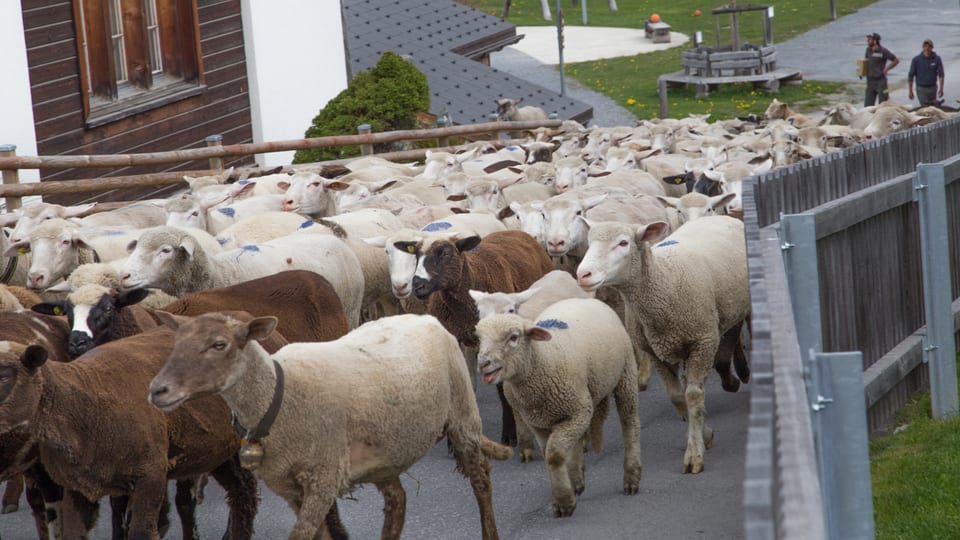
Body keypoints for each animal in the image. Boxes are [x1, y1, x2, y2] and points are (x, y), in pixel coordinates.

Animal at [148, 310, 510, 540]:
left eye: (219, 344)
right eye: (176, 343)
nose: (157, 390)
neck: (279, 396)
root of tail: (423, 316)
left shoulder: (322, 477)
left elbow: (302, 535)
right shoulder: (290, 487)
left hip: (463, 414)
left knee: (481, 479)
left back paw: (490, 530)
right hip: (386, 450)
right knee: (397, 501)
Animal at [474, 298, 640, 516]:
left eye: (513, 337)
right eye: (479, 338)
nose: (483, 363)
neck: (542, 360)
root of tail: (586, 298)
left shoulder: (577, 412)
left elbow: (554, 455)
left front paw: (564, 503)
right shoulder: (538, 422)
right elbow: (550, 453)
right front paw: (565, 492)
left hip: (625, 374)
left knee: (630, 423)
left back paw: (631, 478)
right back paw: (577, 480)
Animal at [572, 215, 752, 472]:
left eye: (623, 243)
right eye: (589, 242)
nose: (583, 274)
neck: (664, 281)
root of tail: (717, 215)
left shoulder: (703, 341)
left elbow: (693, 395)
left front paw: (694, 455)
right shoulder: (655, 352)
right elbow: (678, 397)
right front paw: (705, 435)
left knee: (738, 333)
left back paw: (740, 374)